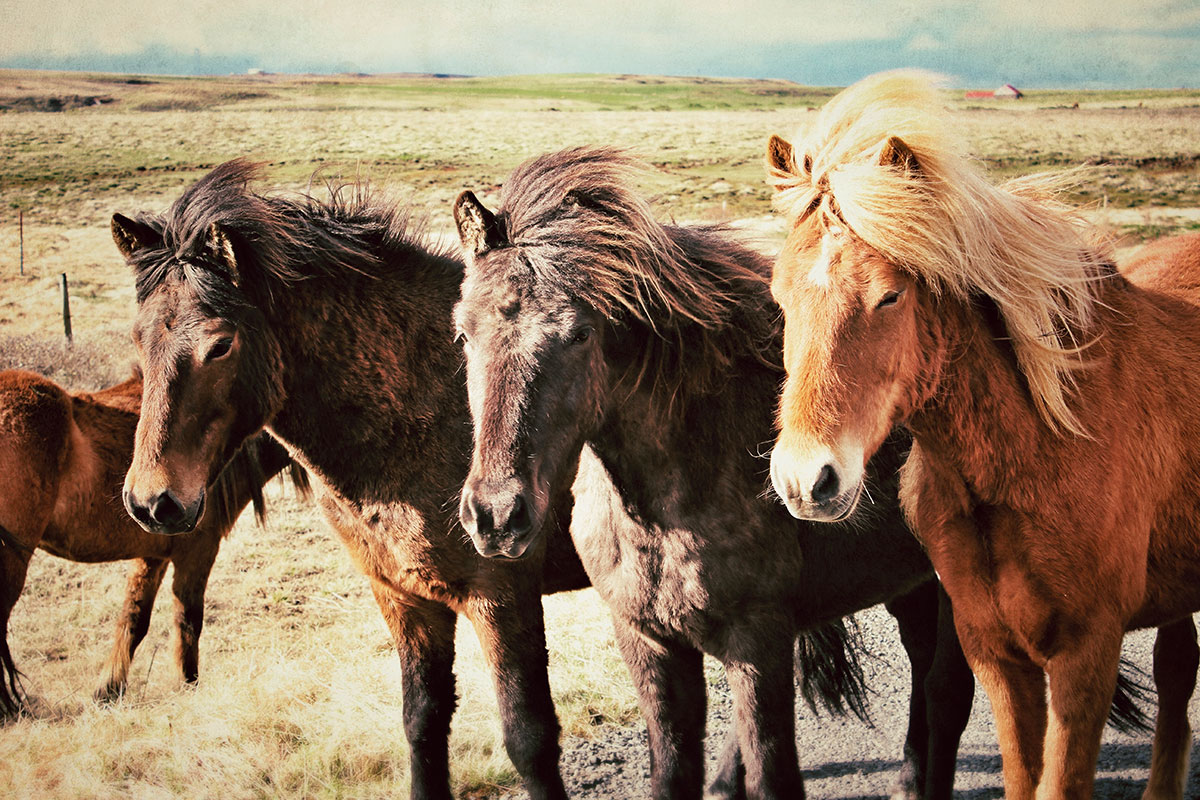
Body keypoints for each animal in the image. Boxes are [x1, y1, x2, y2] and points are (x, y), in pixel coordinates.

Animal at [0, 369, 298, 714]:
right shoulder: (198, 551)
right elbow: (187, 620)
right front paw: (187, 685)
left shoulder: (153, 554)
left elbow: (134, 620)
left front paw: (108, 690)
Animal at [110, 163, 588, 800]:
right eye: (138, 340)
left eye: (220, 344)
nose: (152, 501)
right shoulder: (406, 601)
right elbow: (422, 725)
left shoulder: (502, 598)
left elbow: (528, 740)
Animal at [451, 146, 974, 796]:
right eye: (463, 333)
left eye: (579, 334)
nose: (497, 516)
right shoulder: (650, 645)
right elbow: (673, 770)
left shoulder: (758, 645)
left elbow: (772, 771)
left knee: (949, 692)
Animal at [763, 70, 1200, 800]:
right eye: (779, 295)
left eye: (890, 296)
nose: (806, 480)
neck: (1032, 456)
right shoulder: (997, 655)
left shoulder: (1085, 655)